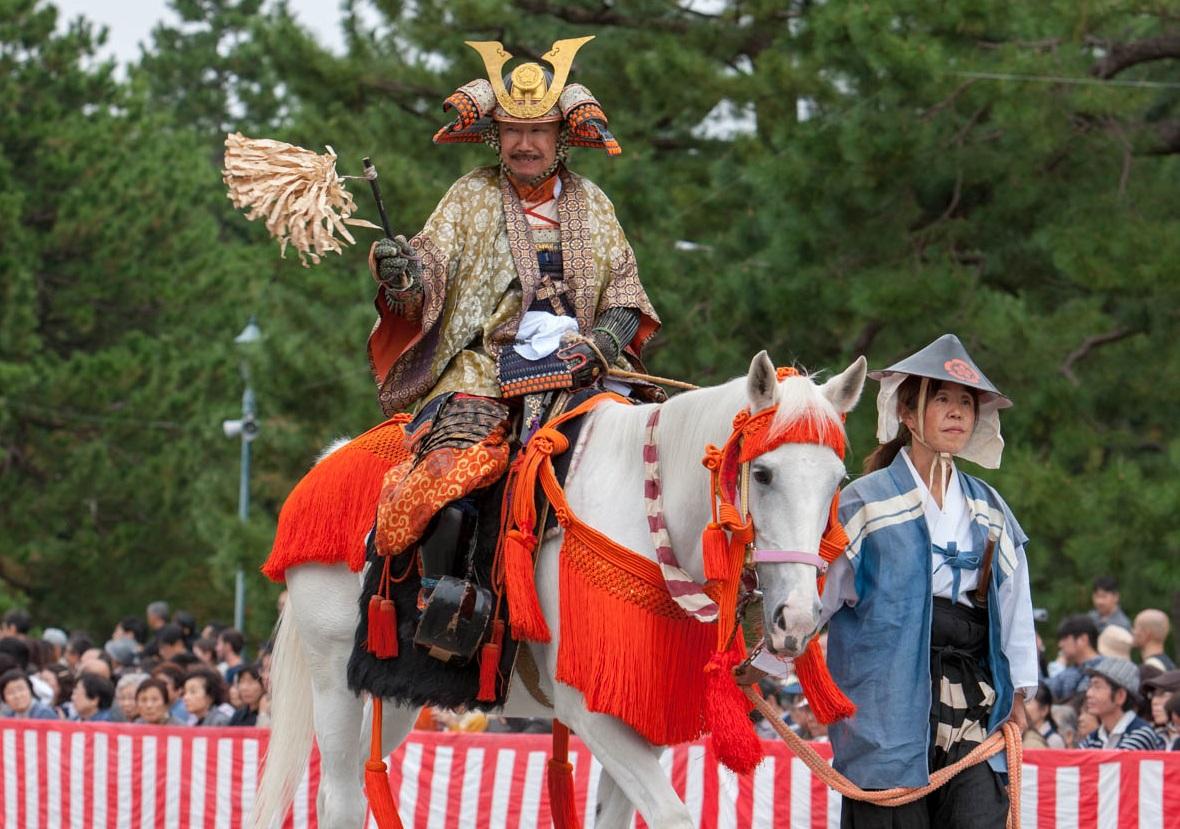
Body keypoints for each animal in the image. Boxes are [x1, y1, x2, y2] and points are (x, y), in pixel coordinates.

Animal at [251, 353, 868, 829]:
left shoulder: (647, 708)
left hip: (399, 688)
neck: (649, 513)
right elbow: (673, 815)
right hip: (333, 675)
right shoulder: (591, 713)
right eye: (762, 475)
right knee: (339, 798)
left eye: (835, 482)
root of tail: (325, 462)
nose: (797, 619)